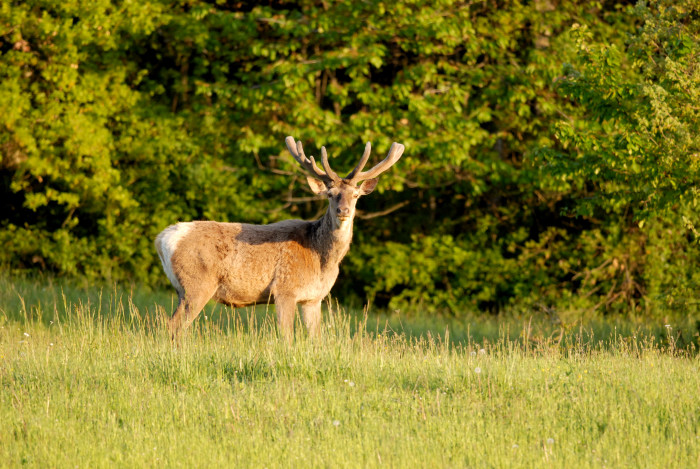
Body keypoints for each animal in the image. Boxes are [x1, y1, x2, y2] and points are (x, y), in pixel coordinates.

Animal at [154, 135, 404, 340]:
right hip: (197, 284)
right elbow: (287, 337)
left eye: (356, 195)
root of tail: (163, 239)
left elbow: (316, 339)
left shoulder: (313, 298)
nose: (344, 211)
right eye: (331, 195)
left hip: (182, 289)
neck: (320, 259)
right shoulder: (284, 289)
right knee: (174, 326)